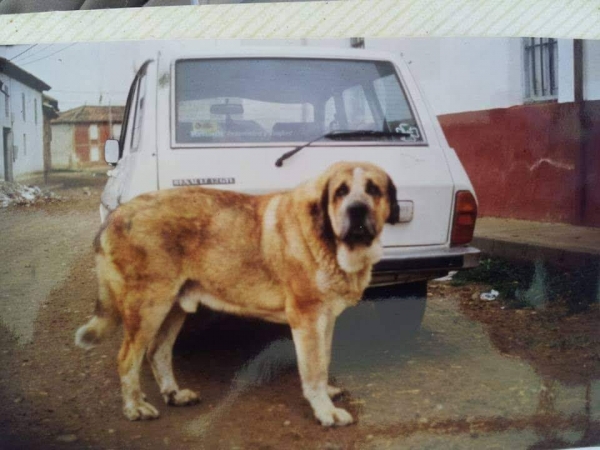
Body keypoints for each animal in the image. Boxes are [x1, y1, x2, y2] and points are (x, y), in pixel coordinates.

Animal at [76, 161, 398, 426]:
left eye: (373, 189)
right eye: (341, 192)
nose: (357, 209)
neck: (328, 239)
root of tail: (116, 214)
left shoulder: (325, 319)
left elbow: (324, 359)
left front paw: (327, 395)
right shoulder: (307, 320)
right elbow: (313, 370)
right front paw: (325, 411)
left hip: (172, 309)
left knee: (157, 352)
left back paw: (174, 394)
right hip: (149, 307)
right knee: (127, 358)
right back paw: (135, 408)